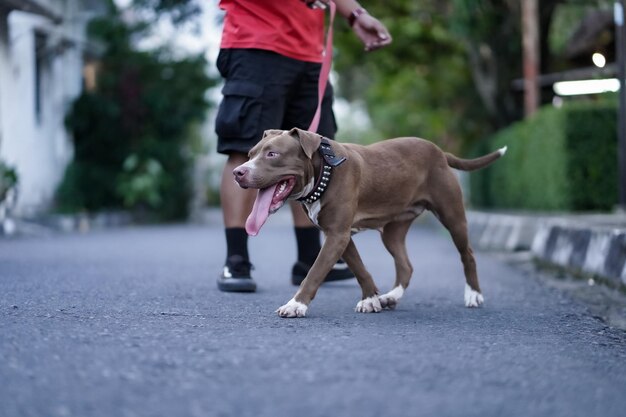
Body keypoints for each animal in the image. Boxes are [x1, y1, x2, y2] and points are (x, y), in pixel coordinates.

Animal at [232, 127, 504, 316]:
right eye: (250, 154)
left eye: (273, 154)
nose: (238, 172)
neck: (324, 171)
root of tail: (440, 152)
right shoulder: (339, 235)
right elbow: (359, 268)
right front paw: (371, 298)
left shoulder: (337, 235)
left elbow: (315, 271)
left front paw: (295, 305)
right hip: (393, 232)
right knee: (405, 266)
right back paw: (390, 297)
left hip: (452, 216)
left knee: (467, 254)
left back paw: (474, 295)